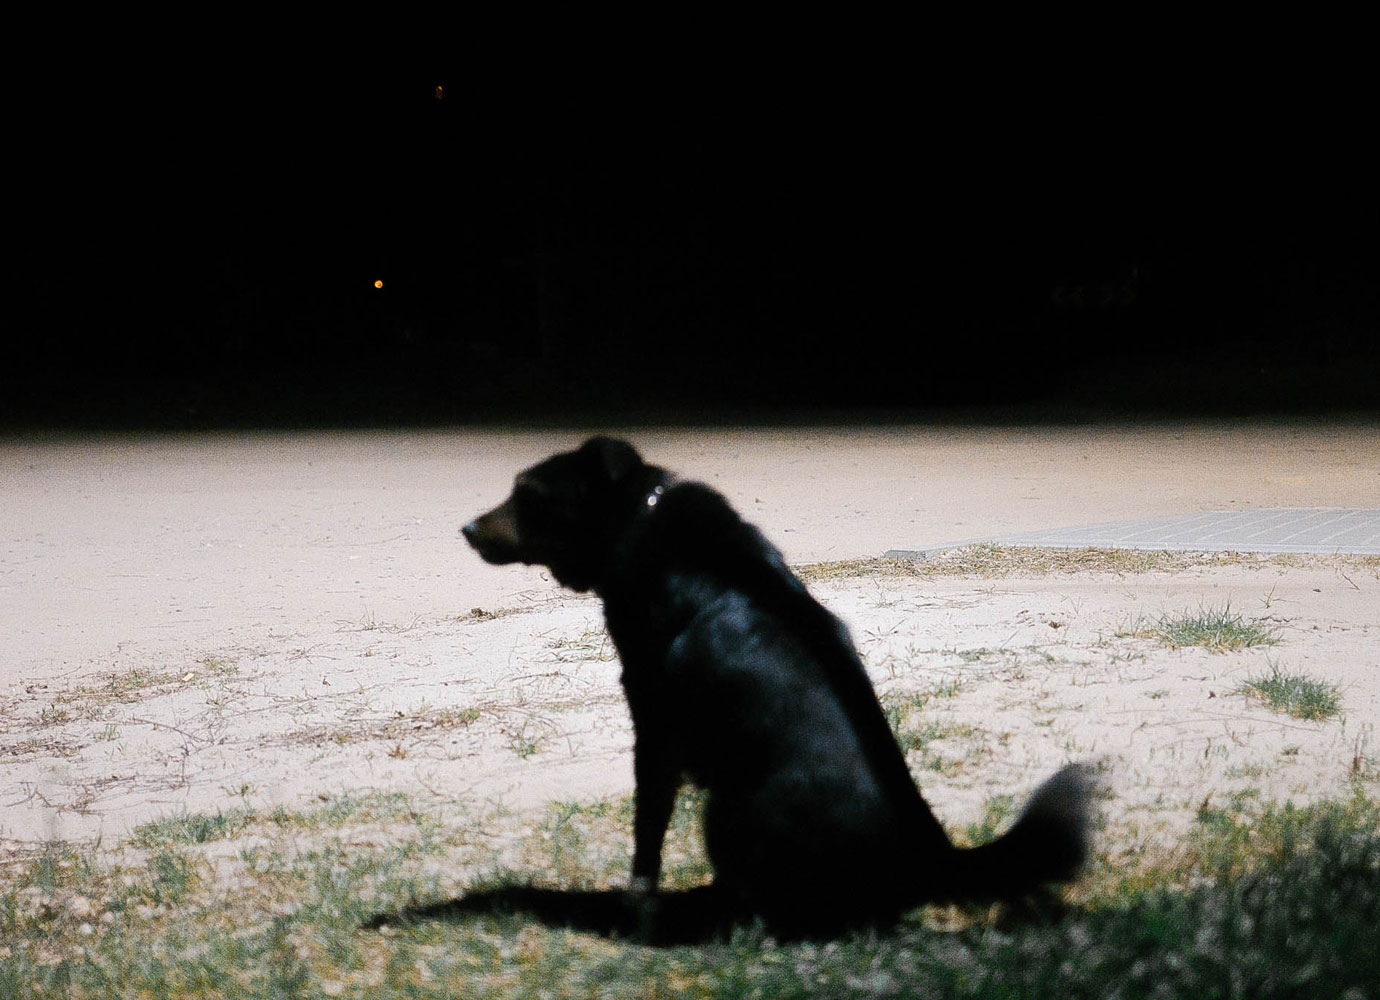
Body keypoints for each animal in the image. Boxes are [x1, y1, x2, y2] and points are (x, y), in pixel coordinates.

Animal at [463, 435, 1087, 937]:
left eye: (526, 491)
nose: (465, 529)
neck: (643, 521)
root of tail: (931, 854)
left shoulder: (655, 725)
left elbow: (647, 836)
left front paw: (638, 913)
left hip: (726, 809)